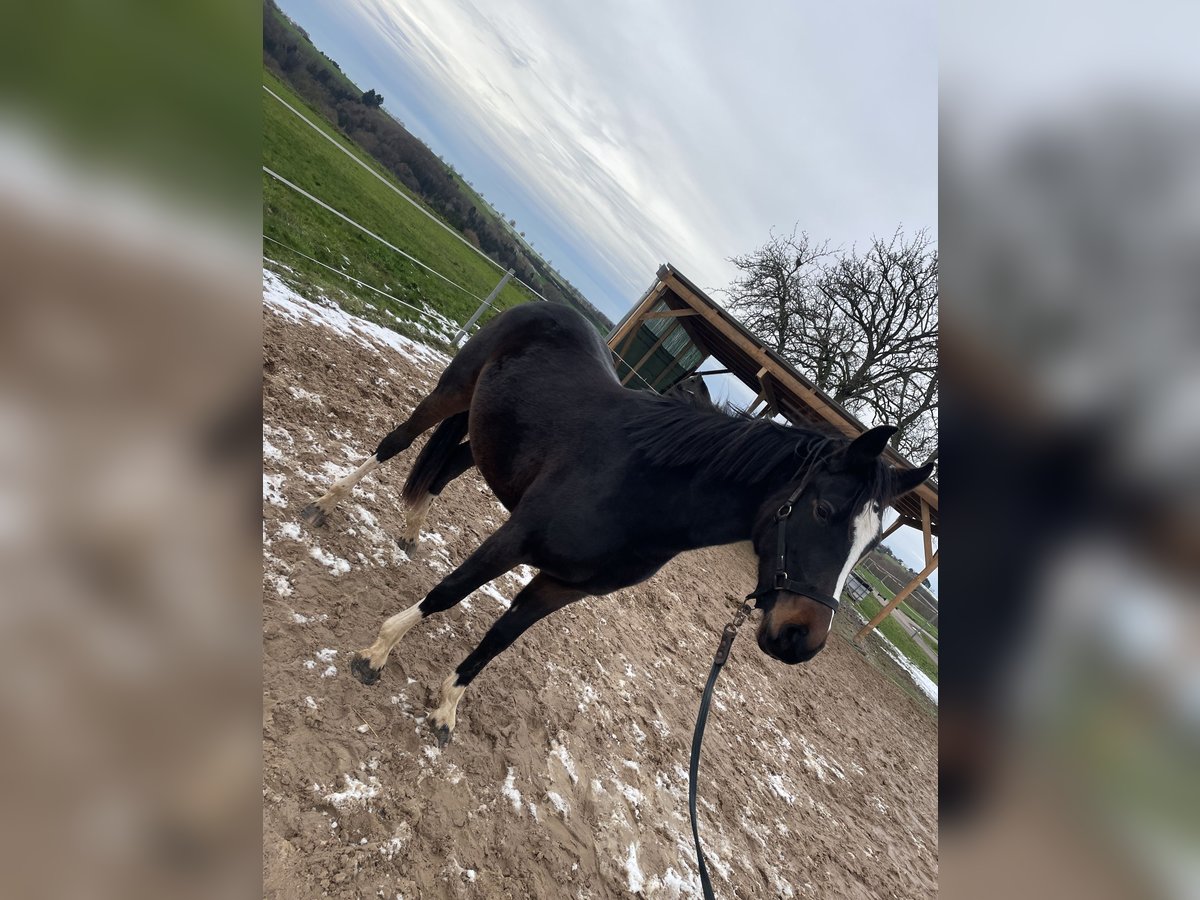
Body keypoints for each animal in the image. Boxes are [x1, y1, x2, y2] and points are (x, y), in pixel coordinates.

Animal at [297, 303, 926, 748]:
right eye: (824, 511)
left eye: (869, 548)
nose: (800, 640)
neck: (640, 492)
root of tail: (545, 308)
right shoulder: (513, 541)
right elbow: (448, 593)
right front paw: (374, 656)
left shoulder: (561, 587)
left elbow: (500, 638)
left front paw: (446, 709)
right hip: (452, 391)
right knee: (394, 444)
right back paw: (324, 504)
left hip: (487, 438)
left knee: (445, 468)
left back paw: (409, 530)